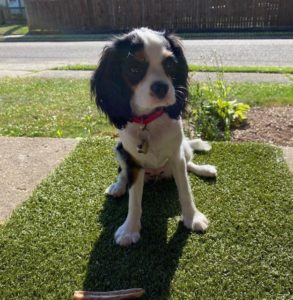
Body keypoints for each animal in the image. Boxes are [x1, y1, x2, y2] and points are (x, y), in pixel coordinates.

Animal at [91, 28, 217, 246]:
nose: (161, 87)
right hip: (119, 150)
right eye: (134, 69)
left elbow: (185, 189)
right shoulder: (133, 162)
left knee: (189, 165)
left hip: (183, 148)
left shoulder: (177, 155)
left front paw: (192, 217)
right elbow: (134, 199)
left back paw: (204, 169)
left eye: (170, 64)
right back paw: (118, 186)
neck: (148, 121)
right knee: (122, 173)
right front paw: (129, 230)